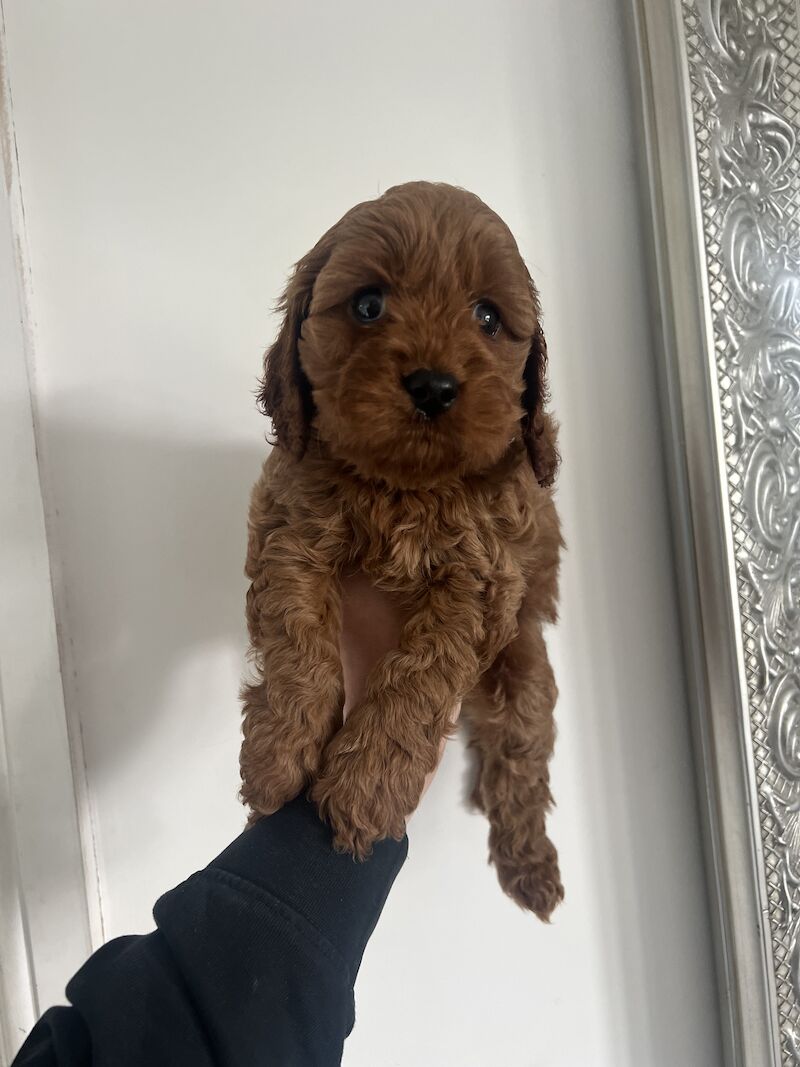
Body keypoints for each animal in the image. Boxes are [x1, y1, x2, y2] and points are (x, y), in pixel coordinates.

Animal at [243, 181, 563, 917]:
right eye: (367, 304)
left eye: (487, 316)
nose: (433, 386)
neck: (403, 488)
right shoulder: (287, 527)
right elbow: (297, 643)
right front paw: (278, 756)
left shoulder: (481, 582)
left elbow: (416, 683)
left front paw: (363, 794)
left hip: (525, 669)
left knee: (520, 759)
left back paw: (531, 866)